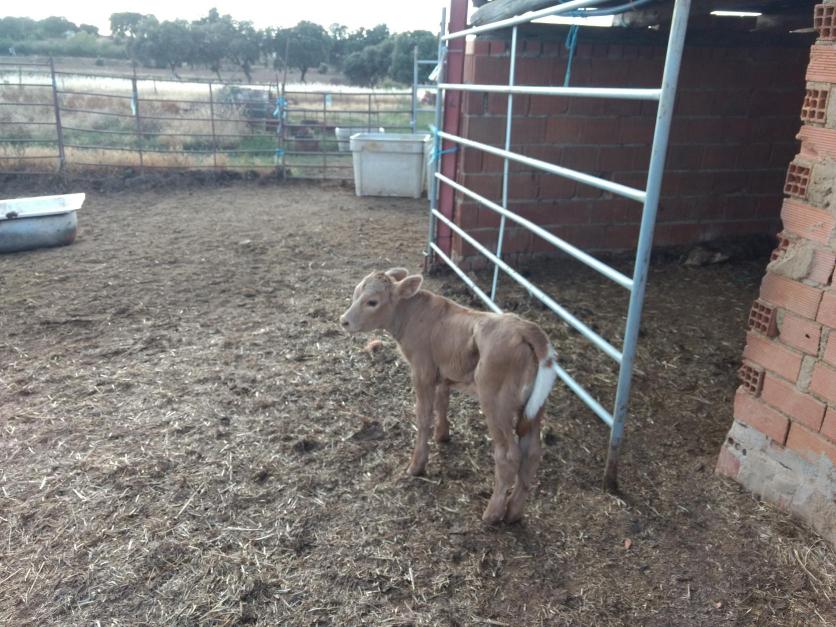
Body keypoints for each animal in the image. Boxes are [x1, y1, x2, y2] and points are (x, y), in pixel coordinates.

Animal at [340, 267, 558, 523]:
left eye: (372, 302)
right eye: (355, 293)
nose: (344, 321)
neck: (411, 315)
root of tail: (527, 329)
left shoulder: (422, 371)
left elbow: (423, 416)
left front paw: (417, 465)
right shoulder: (443, 373)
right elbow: (442, 402)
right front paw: (442, 435)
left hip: (496, 403)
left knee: (508, 456)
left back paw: (492, 514)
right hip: (535, 408)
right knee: (532, 453)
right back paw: (513, 512)